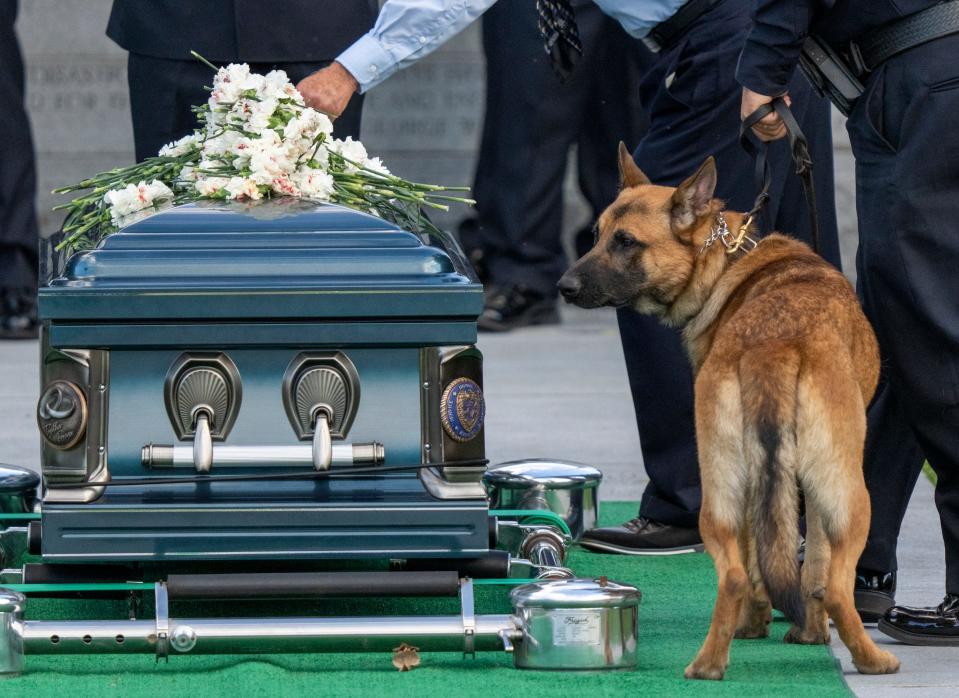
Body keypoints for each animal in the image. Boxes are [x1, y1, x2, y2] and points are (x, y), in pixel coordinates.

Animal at [560, 145, 904, 680]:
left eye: (623, 241)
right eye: (598, 237)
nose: (564, 286)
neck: (724, 260)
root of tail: (771, 345)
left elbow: (783, 566)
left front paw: (778, 627)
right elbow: (815, 568)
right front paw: (808, 633)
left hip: (722, 491)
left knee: (737, 576)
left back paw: (708, 665)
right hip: (851, 499)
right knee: (835, 586)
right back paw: (872, 660)